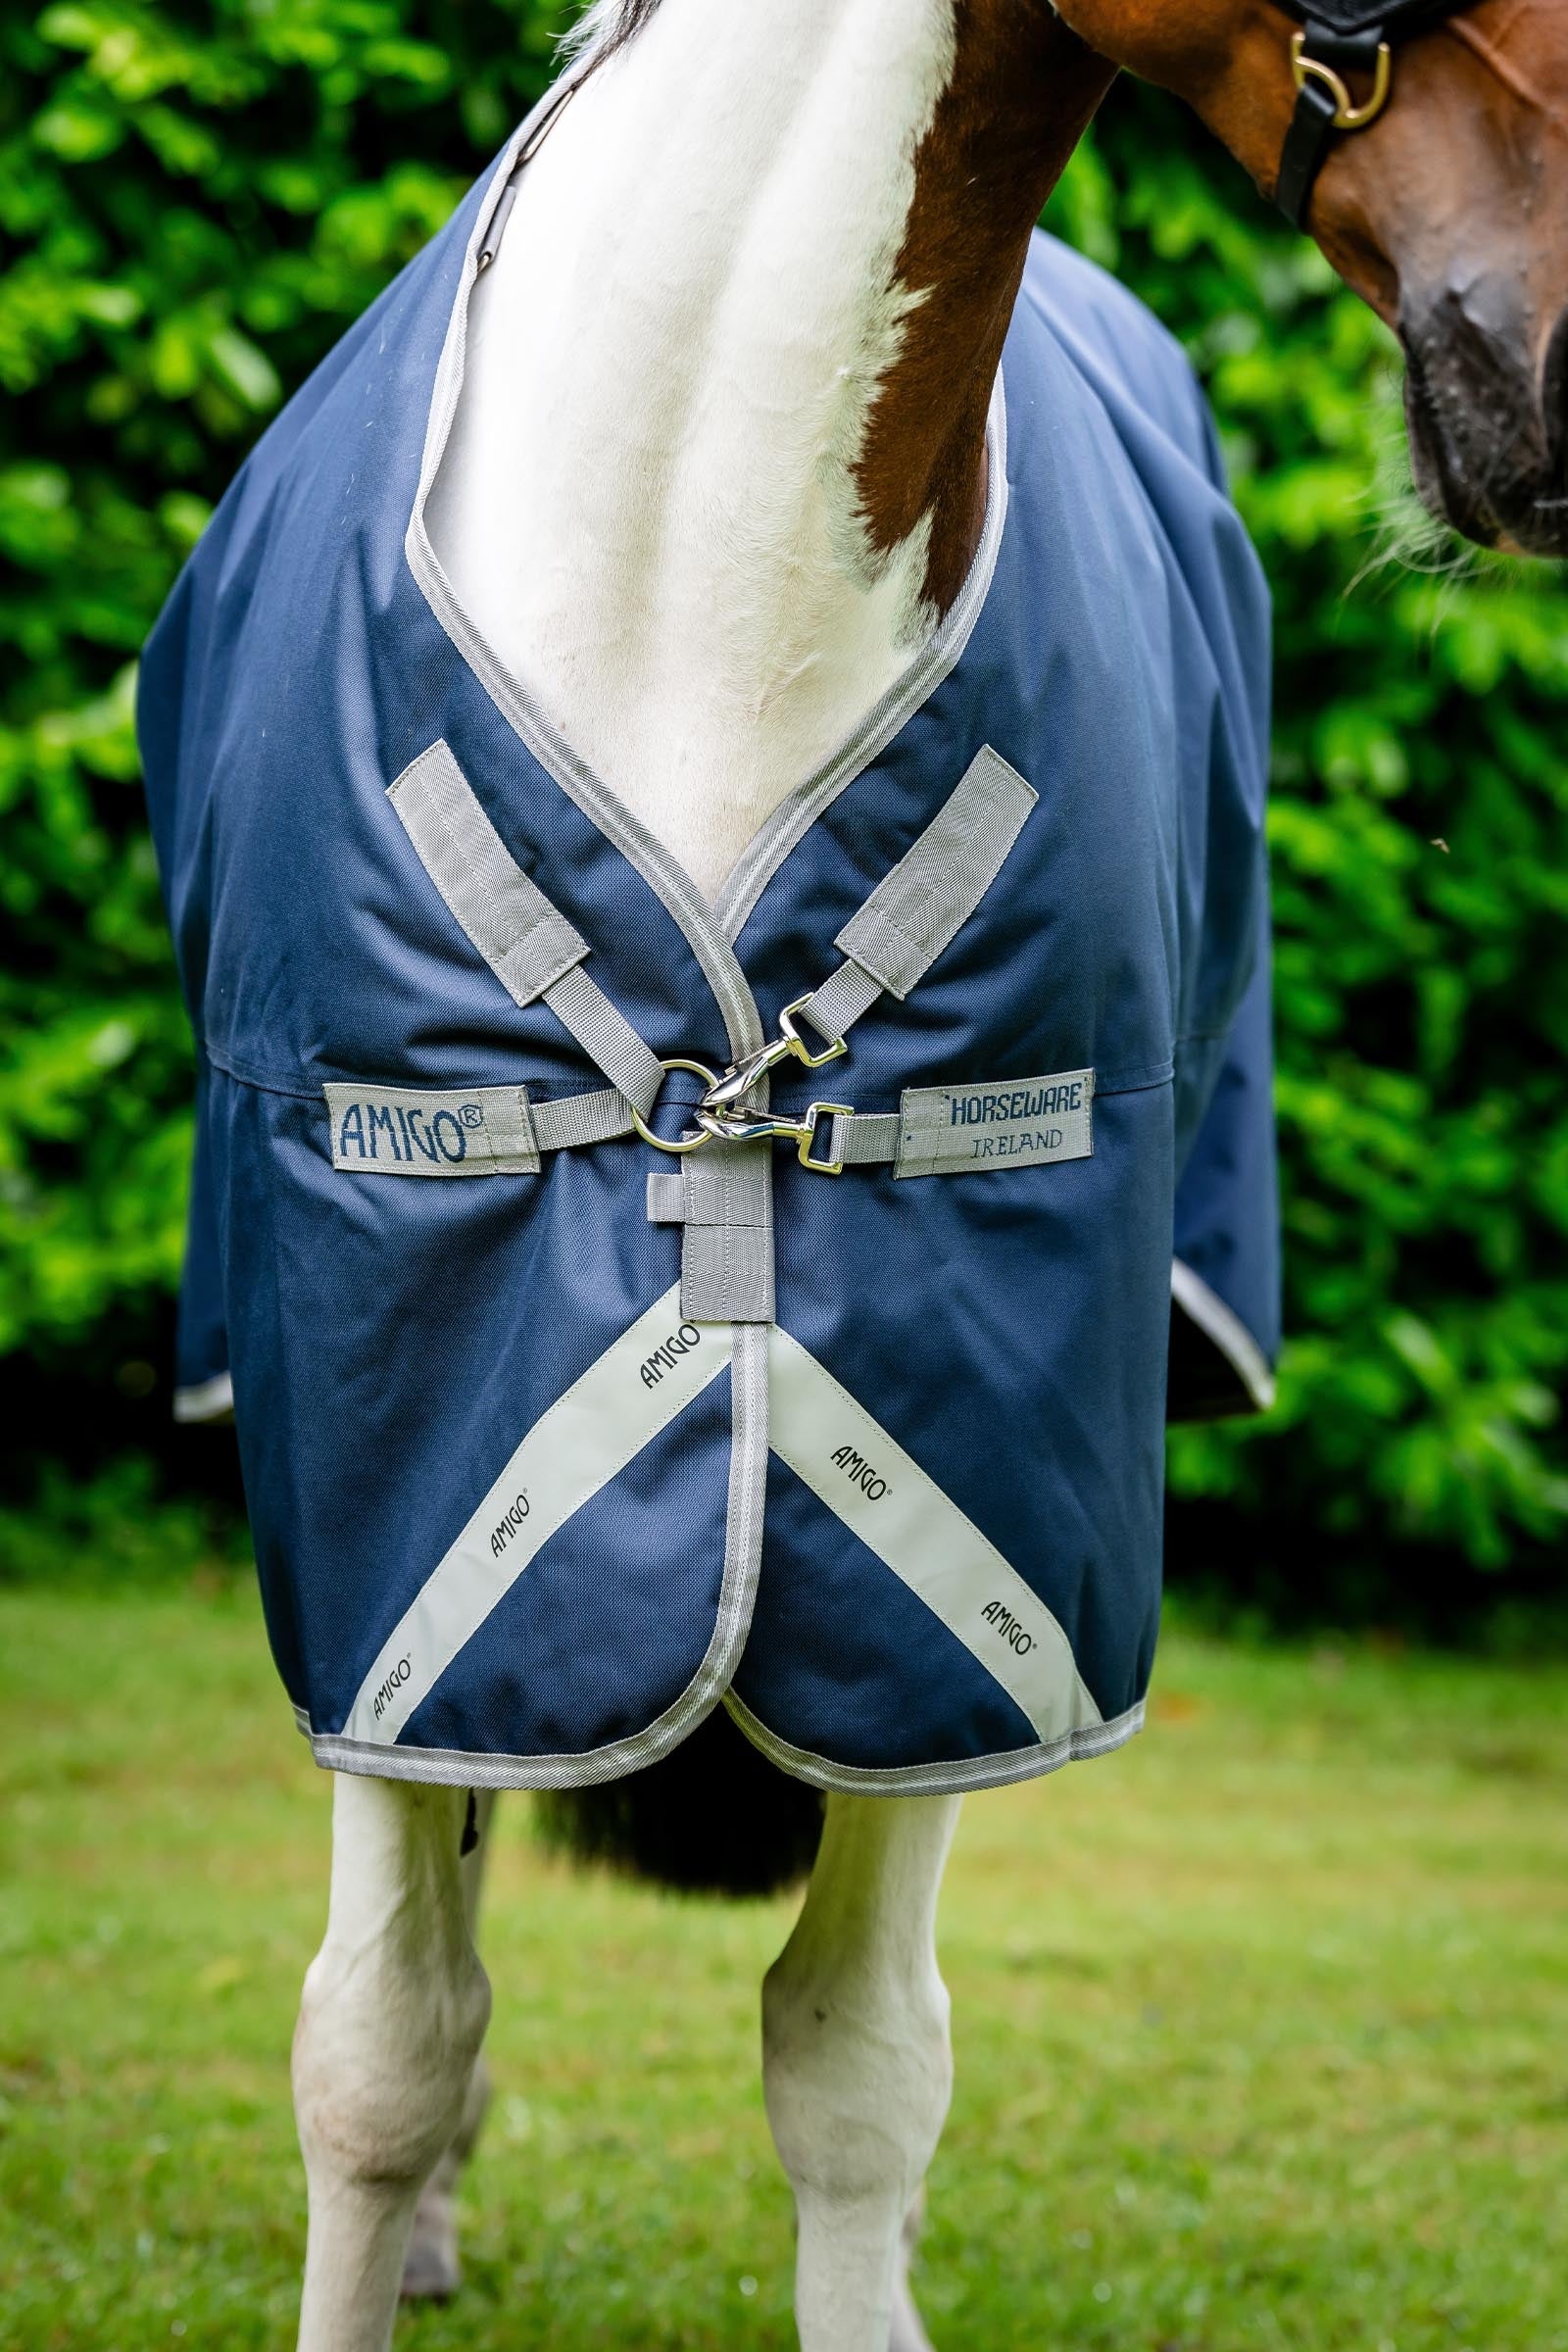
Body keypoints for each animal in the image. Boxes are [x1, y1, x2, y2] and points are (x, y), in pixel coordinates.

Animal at [138, 4, 1568, 2349]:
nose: (1548, 361)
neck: (694, 587)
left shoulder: (964, 1554)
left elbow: (856, 2064)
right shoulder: (379, 1508)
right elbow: (376, 2043)